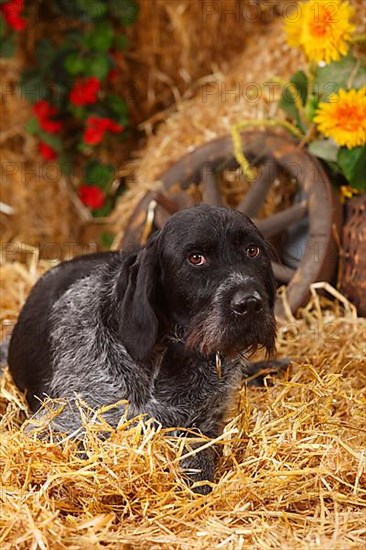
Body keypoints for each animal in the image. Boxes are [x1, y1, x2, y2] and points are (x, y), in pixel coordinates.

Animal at [7, 205, 274, 494]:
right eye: (196, 258)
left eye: (252, 251)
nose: (249, 303)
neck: (173, 359)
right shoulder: (55, 425)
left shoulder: (206, 422)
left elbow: (199, 461)